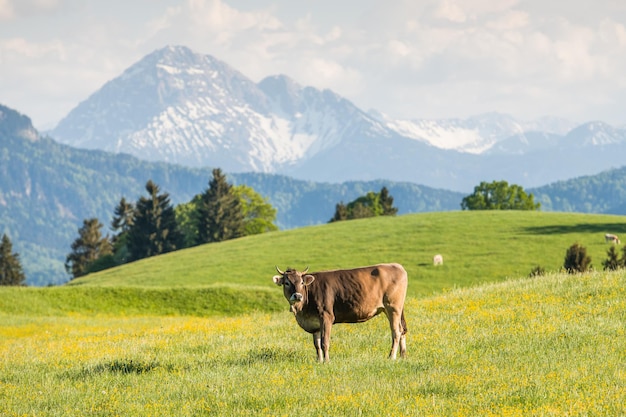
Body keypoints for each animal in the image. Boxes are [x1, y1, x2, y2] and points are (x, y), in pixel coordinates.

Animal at [270, 264, 408, 360]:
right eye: (287, 283)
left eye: (302, 282)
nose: (298, 296)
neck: (302, 311)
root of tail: (396, 265)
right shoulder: (314, 323)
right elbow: (317, 344)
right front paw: (319, 361)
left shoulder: (326, 316)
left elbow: (325, 342)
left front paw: (326, 361)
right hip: (391, 310)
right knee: (401, 330)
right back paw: (402, 356)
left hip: (393, 308)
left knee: (396, 332)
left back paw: (391, 357)